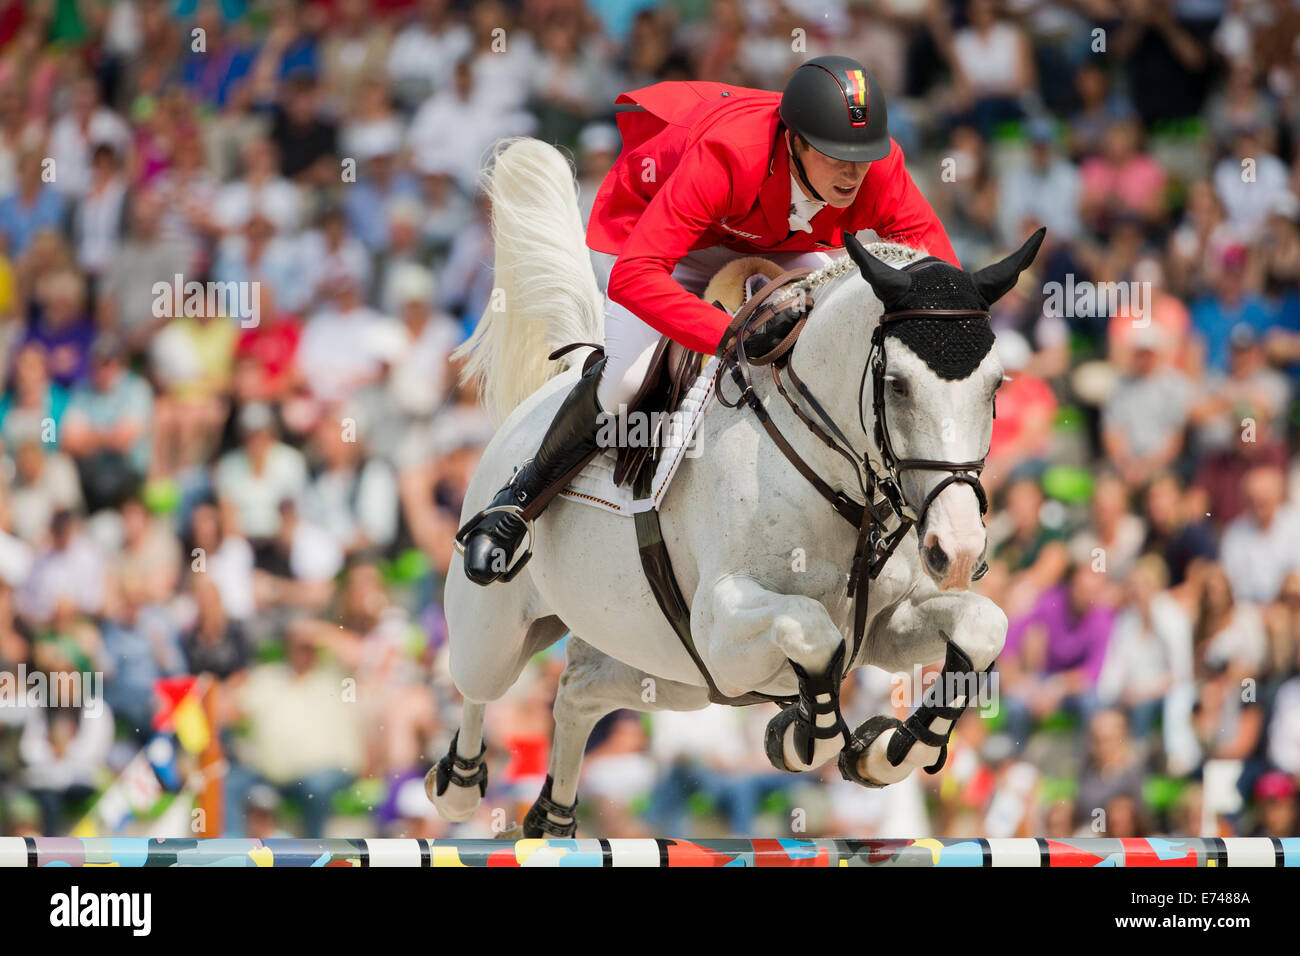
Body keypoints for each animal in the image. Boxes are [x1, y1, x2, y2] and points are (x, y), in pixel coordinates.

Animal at [429, 138, 1045, 836]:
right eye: (898, 386)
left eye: (996, 385)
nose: (958, 549)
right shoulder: (721, 625)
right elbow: (813, 632)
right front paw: (807, 734)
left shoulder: (889, 621)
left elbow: (983, 626)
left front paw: (889, 748)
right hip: (502, 633)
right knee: (478, 686)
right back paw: (461, 780)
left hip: (671, 674)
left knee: (577, 692)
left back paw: (552, 819)